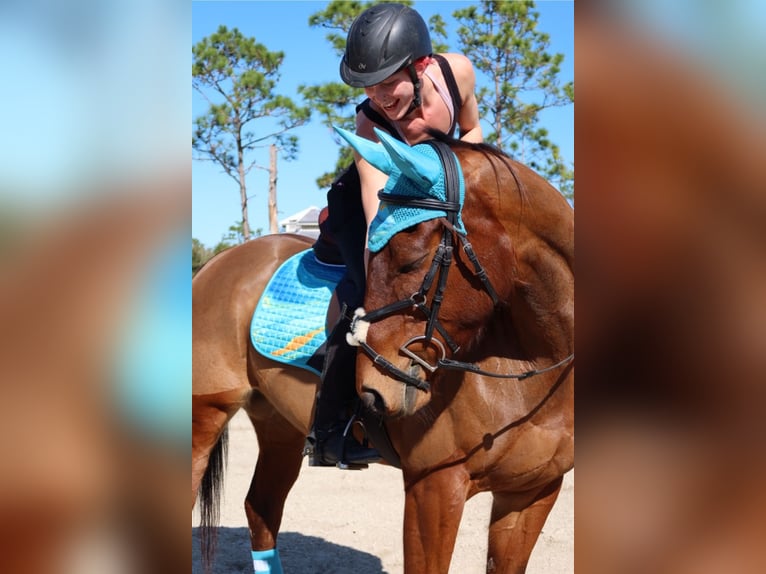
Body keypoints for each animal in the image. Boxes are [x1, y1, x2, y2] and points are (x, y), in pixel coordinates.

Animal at [192, 128, 574, 573]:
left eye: (410, 258)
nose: (373, 391)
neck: (534, 365)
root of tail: (217, 263)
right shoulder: (433, 489)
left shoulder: (533, 492)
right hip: (206, 415)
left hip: (278, 425)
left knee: (261, 508)